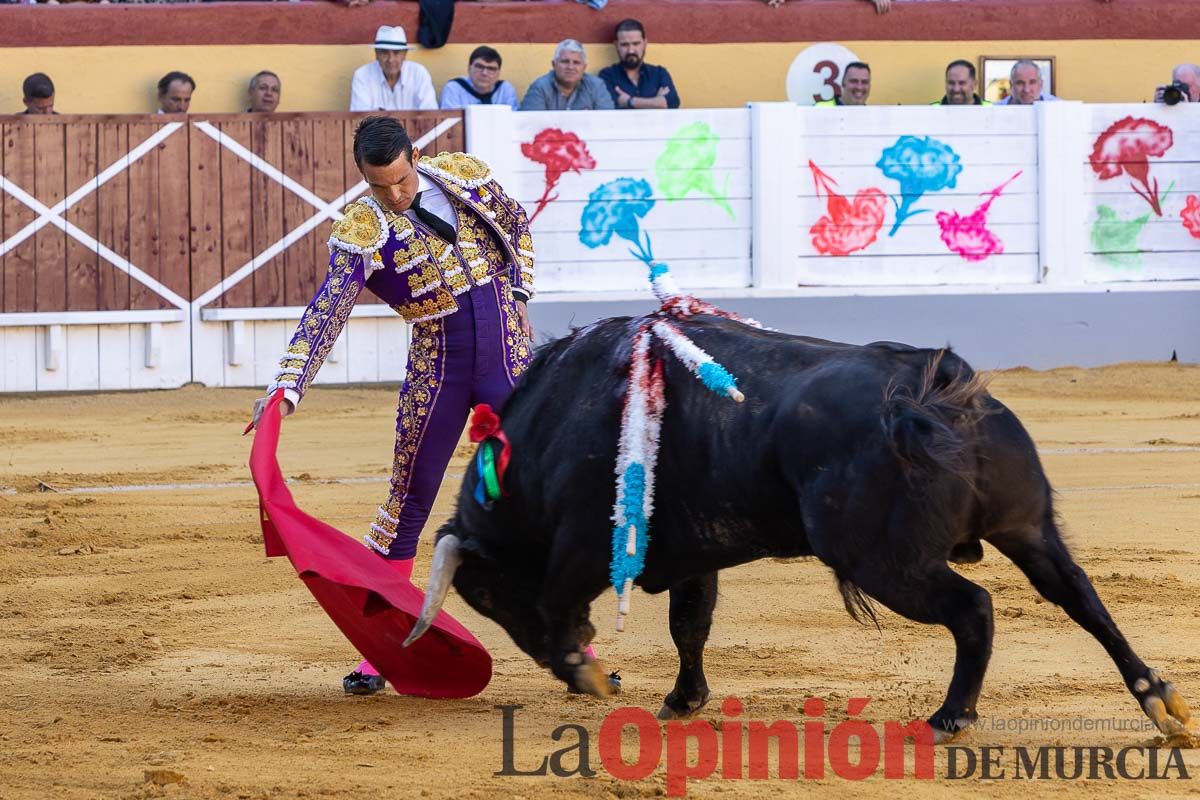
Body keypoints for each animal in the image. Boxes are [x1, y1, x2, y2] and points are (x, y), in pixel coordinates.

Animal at [405, 316, 1190, 743]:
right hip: (1026, 527)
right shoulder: (693, 552)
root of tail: (931, 391)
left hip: (886, 562)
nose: (551, 666)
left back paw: (950, 717)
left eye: (486, 597)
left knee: (975, 609)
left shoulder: (586, 540)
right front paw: (681, 700)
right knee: (1080, 596)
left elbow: (564, 601)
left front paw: (587, 673)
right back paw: (1159, 699)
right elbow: (691, 625)